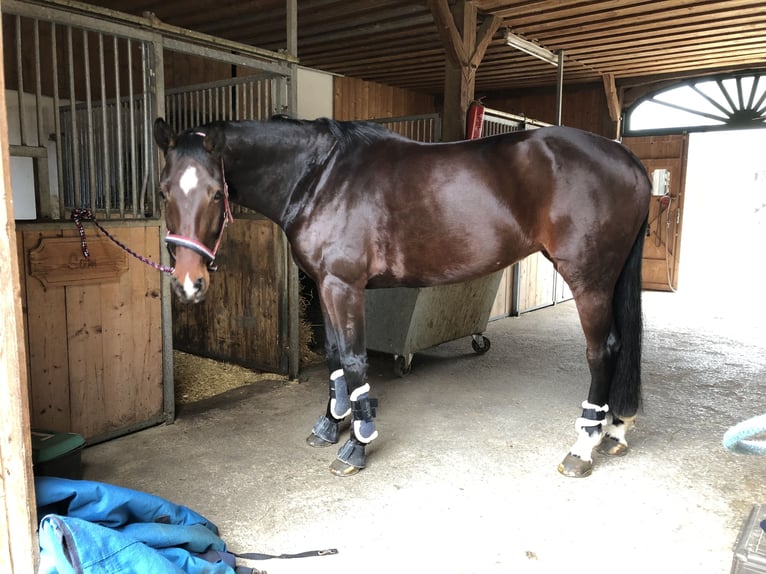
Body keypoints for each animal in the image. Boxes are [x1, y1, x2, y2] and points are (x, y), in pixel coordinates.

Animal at [153, 116, 651, 478]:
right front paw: (331, 422)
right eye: (163, 191)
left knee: (602, 351)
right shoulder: (324, 283)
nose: (188, 283)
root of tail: (627, 157)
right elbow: (333, 355)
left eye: (215, 193)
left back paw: (582, 447)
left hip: (589, 281)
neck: (320, 177)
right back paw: (614, 429)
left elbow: (355, 361)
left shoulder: (343, 285)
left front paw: (357, 442)